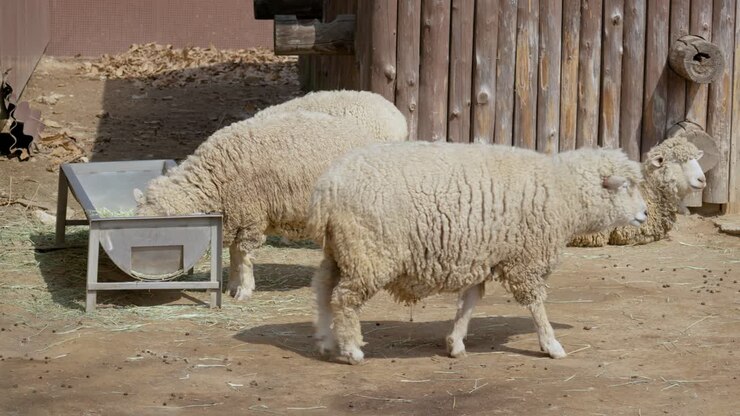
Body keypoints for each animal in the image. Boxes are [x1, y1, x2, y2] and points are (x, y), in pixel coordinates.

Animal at [135, 93, 408, 301]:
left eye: (155, 230)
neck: (213, 177)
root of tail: (397, 117)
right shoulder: (236, 217)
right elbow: (234, 254)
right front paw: (232, 285)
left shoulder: (251, 216)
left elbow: (243, 255)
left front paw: (244, 290)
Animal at [306, 141, 647, 364]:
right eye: (626, 186)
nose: (644, 214)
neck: (562, 191)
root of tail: (327, 188)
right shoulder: (525, 259)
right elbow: (536, 304)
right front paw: (551, 344)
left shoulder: (483, 254)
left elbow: (470, 301)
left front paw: (455, 343)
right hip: (370, 252)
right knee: (344, 299)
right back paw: (351, 350)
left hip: (341, 250)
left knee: (323, 288)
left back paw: (324, 340)